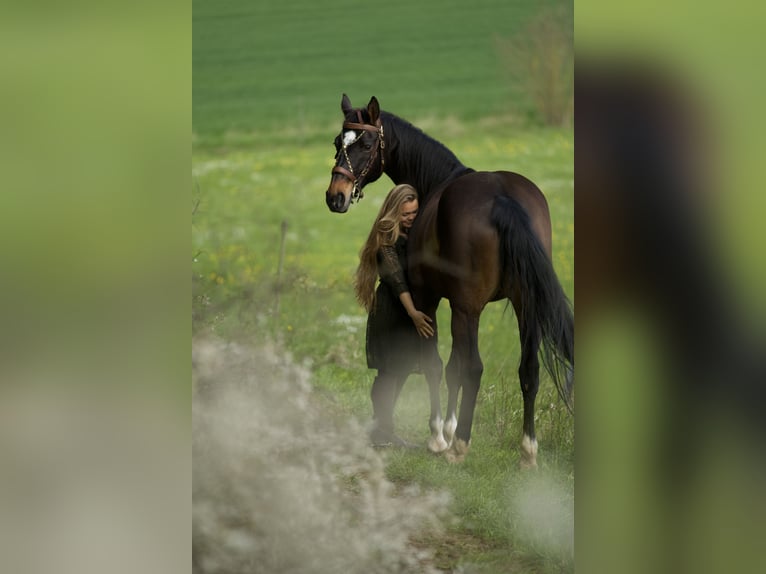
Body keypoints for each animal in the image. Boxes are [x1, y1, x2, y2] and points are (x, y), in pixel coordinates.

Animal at [326, 92, 576, 466]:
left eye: (367, 144)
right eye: (337, 143)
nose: (335, 196)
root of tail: (502, 197)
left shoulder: (429, 301)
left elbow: (436, 364)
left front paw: (439, 436)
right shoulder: (459, 305)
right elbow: (453, 367)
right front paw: (450, 425)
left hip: (469, 309)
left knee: (474, 367)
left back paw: (459, 447)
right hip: (524, 305)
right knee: (528, 370)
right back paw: (527, 451)